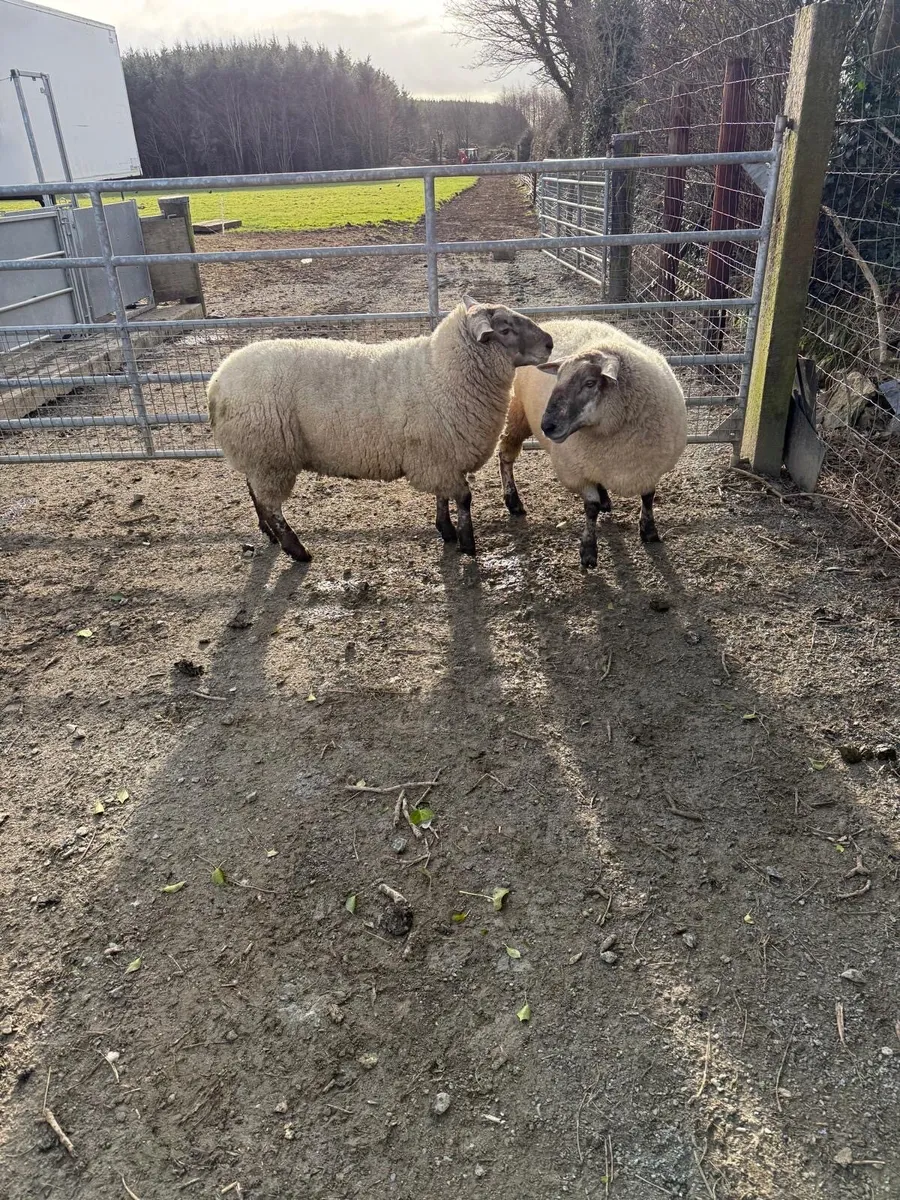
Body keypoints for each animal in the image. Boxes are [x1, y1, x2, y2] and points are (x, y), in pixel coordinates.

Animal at [207, 297, 553, 562]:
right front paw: (467, 544)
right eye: (505, 329)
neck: (441, 373)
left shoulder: (440, 458)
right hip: (270, 455)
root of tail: (215, 382)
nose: (550, 343)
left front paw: (446, 530)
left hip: (257, 456)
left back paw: (269, 535)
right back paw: (297, 550)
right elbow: (464, 499)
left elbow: (444, 497)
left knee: (254, 492)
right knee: (271, 505)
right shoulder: (437, 456)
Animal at [497, 319, 687, 567]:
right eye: (557, 379)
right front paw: (588, 551)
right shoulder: (577, 472)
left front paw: (649, 531)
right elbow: (591, 508)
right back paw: (513, 501)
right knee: (505, 456)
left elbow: (648, 496)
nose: (547, 426)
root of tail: (551, 321)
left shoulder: (648, 466)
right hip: (516, 414)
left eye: (589, 383)